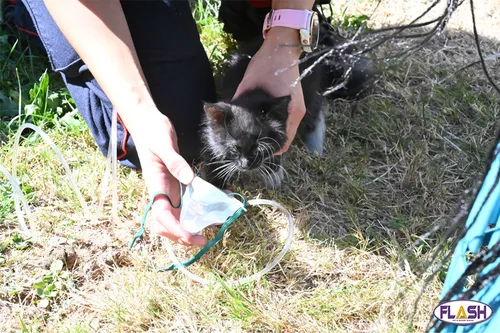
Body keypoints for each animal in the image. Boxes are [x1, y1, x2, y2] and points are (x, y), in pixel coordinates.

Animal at [201, 19, 374, 188]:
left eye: (259, 148)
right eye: (234, 148)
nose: (246, 165)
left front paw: (273, 171)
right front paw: (214, 182)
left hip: (310, 90)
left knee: (314, 112)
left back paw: (315, 144)